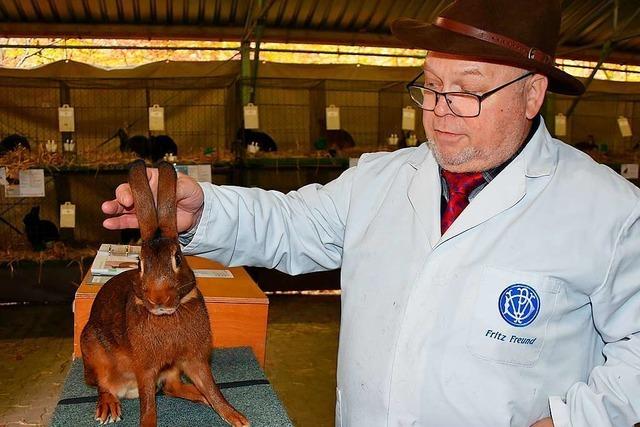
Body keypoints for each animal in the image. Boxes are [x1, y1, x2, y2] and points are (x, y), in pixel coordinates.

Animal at [80, 160, 250, 427]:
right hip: (94, 352)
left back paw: (199, 396)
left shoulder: (194, 359)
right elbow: (148, 402)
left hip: (172, 368)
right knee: (104, 385)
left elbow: (212, 387)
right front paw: (148, 423)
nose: (158, 298)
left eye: (178, 259)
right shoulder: (146, 368)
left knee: (172, 387)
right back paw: (108, 408)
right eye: (139, 263)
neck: (168, 315)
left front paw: (235, 417)